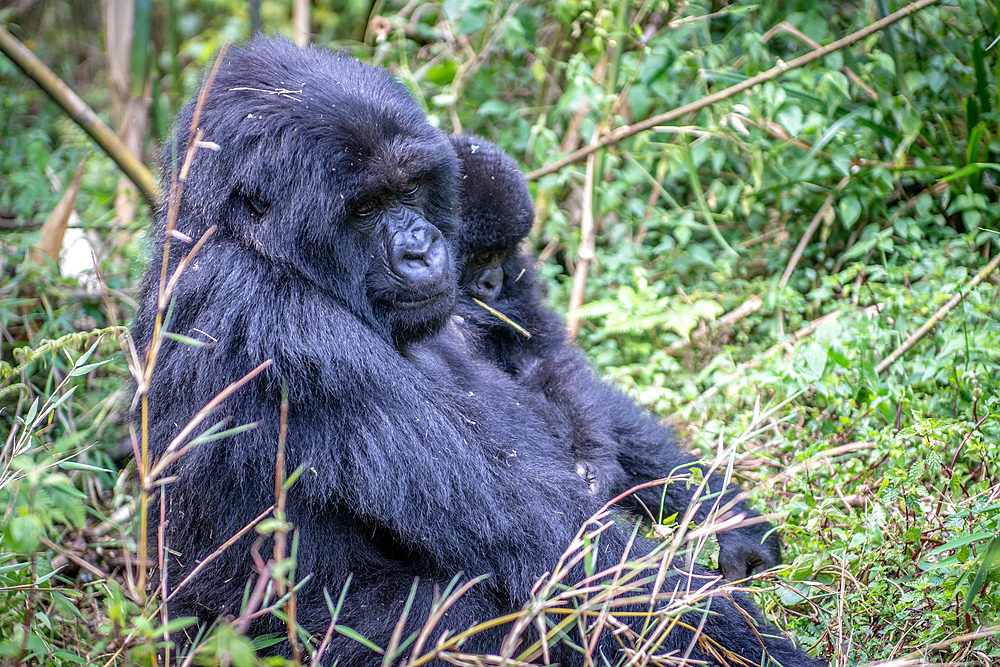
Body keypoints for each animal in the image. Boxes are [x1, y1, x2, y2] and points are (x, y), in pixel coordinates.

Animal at [450, 133, 784, 580]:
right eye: (481, 256)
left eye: (504, 253)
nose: (493, 281)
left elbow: (541, 358)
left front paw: (591, 460)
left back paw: (735, 529)